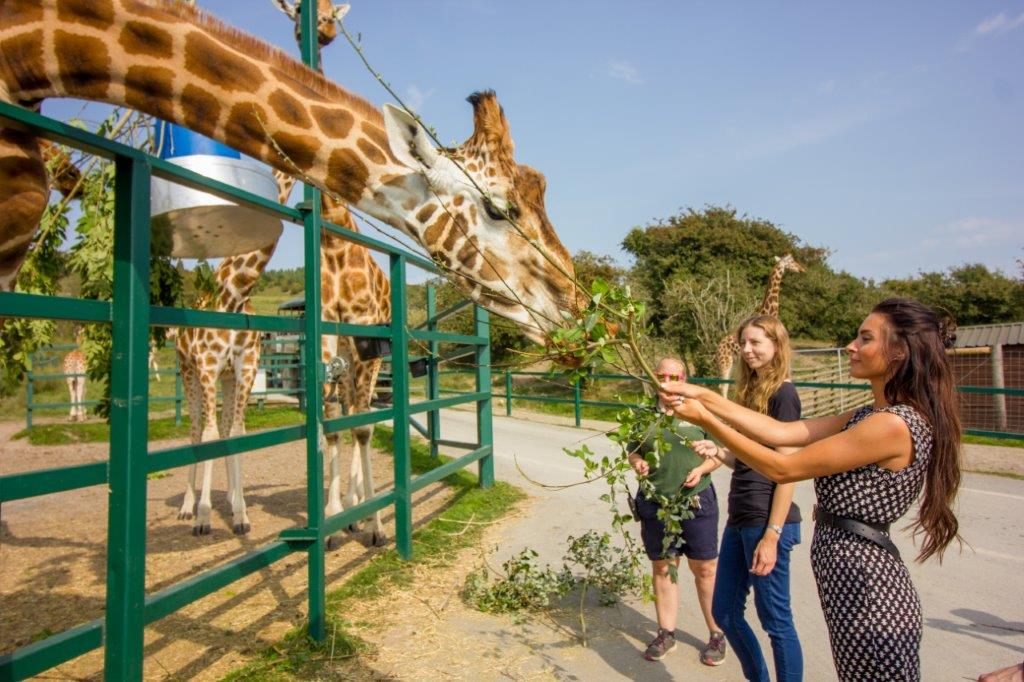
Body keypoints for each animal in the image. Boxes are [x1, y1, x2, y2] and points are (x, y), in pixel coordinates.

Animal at [713, 254, 805, 396]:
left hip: (733, 364)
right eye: (792, 261)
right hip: (725, 362)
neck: (767, 312)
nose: (801, 269)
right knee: (722, 386)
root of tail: (718, 347)